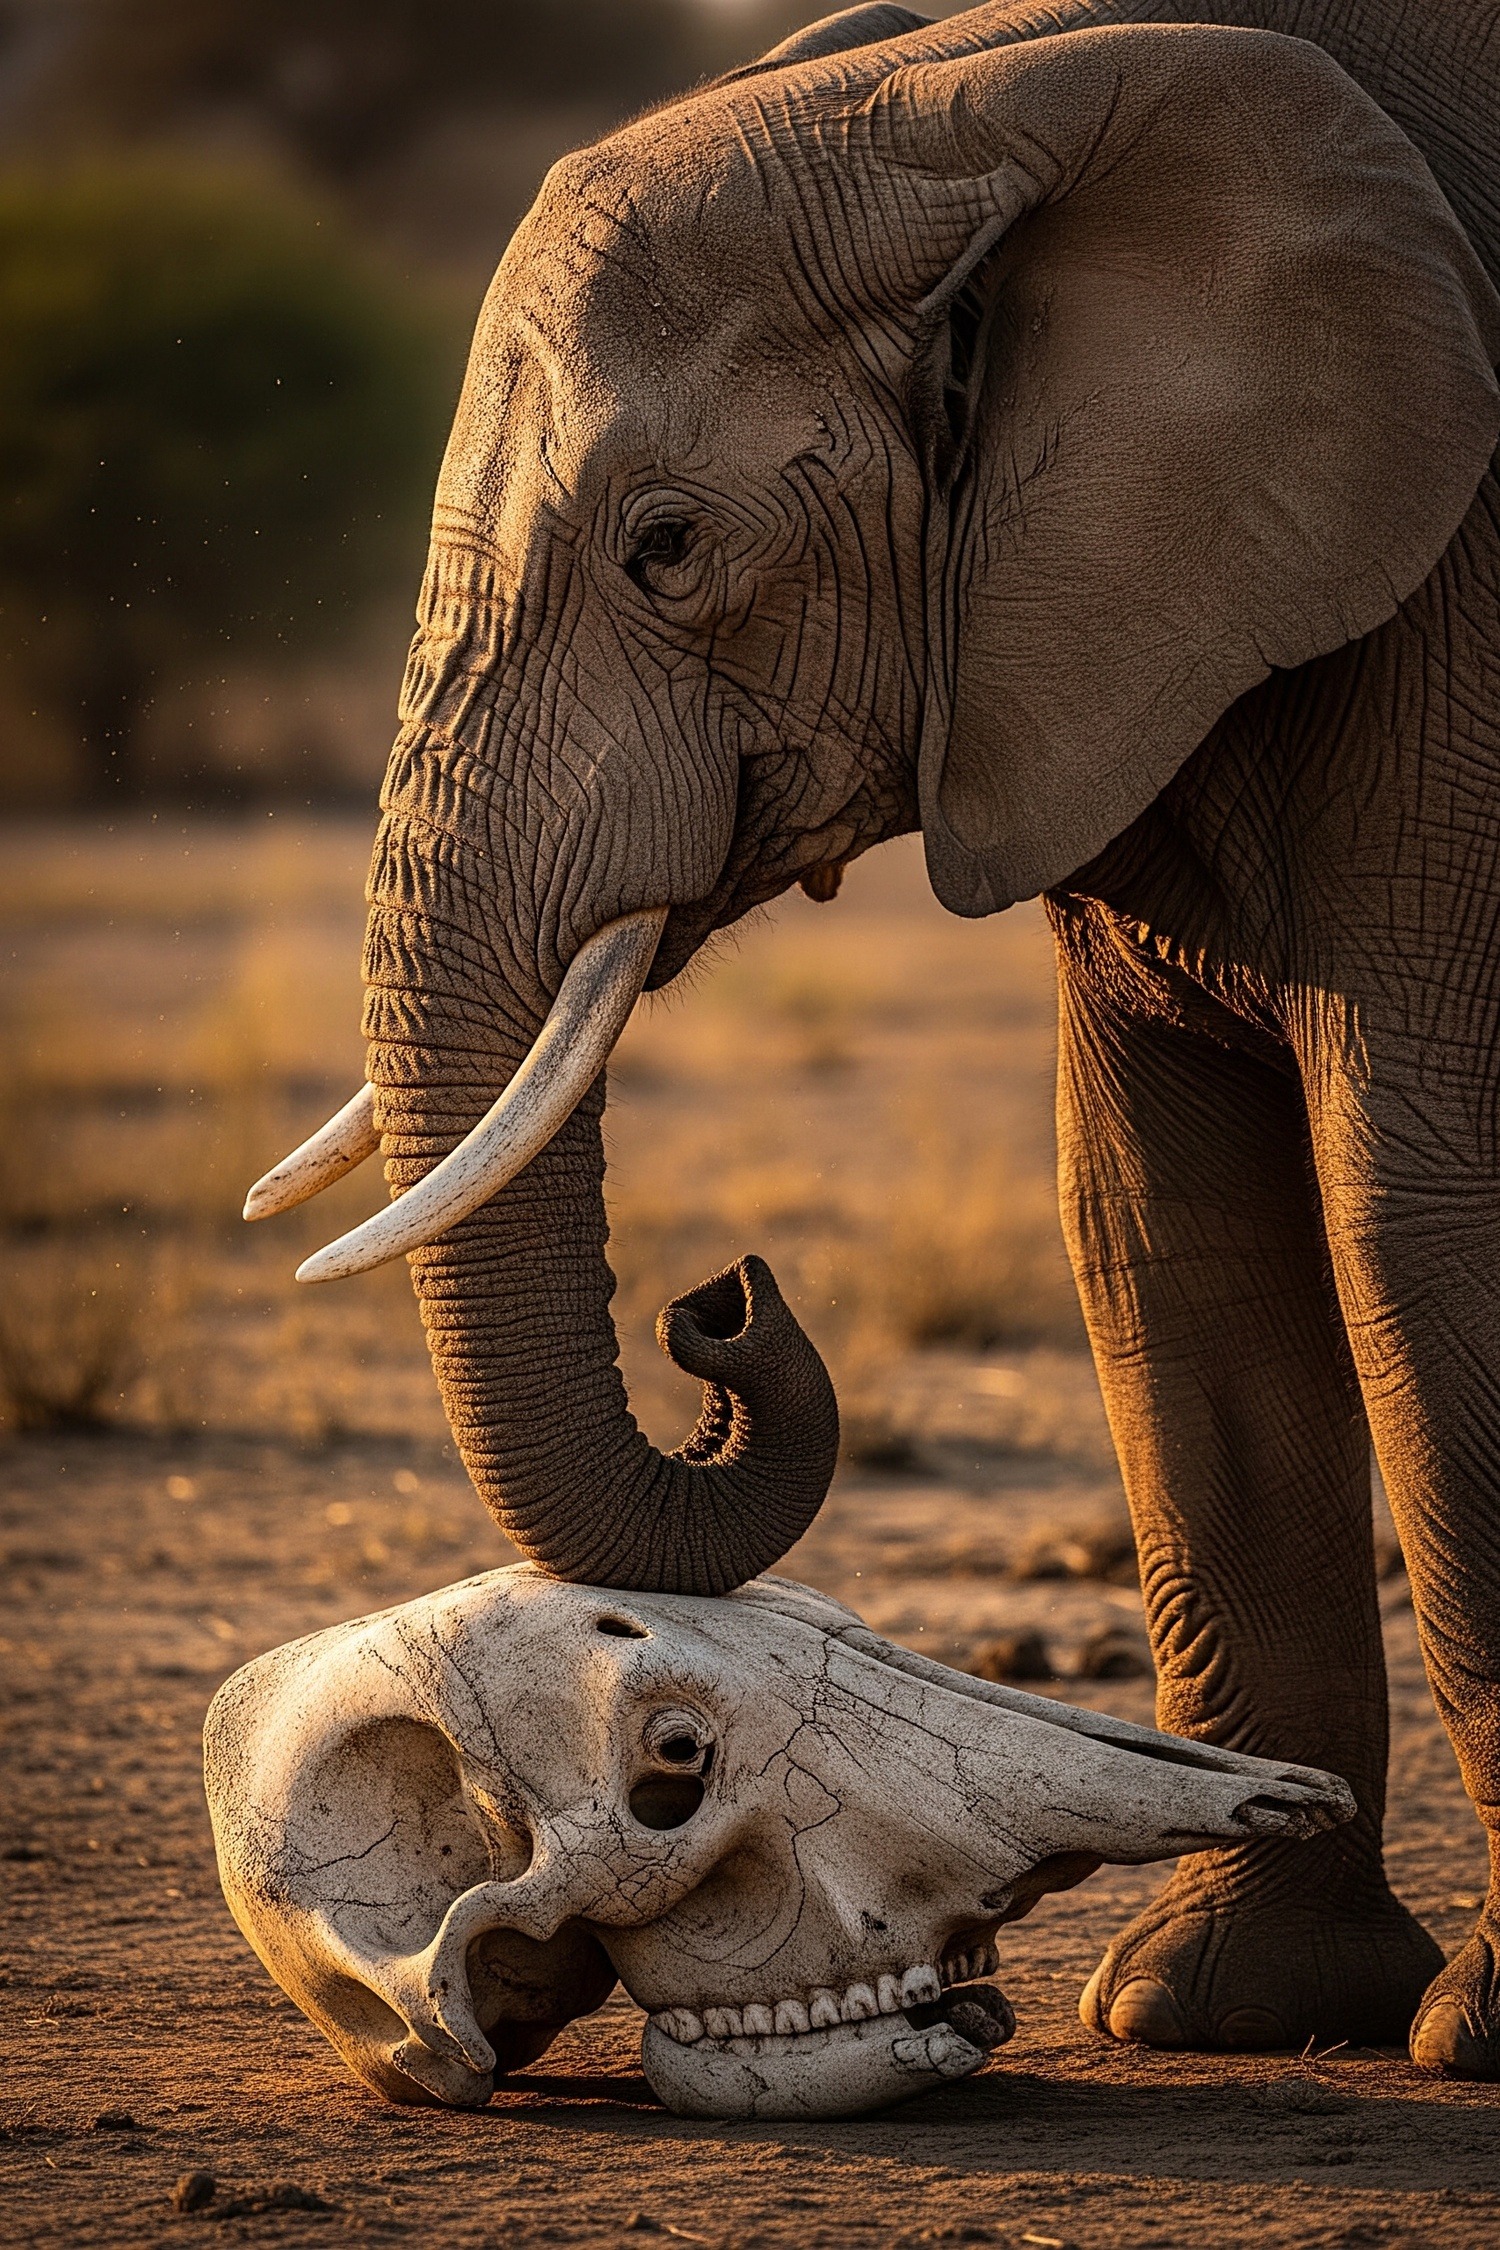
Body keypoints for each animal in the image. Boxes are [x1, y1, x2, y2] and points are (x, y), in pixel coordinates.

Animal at [247, 0, 1500, 2082]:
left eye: (668, 546)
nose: (723, 1299)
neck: (994, 87)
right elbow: (1166, 1241)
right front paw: (1209, 2014)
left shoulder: (1464, 634)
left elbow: (1425, 1226)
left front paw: (1463, 2036)